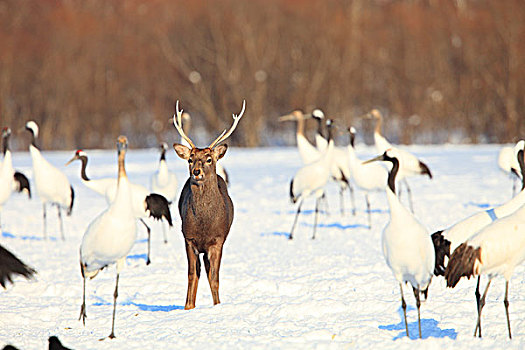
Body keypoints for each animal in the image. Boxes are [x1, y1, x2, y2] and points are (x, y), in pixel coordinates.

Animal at [173, 99, 245, 308]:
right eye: (190, 159)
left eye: (208, 158)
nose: (196, 172)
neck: (204, 224)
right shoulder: (189, 238)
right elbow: (191, 275)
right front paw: (188, 307)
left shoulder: (218, 240)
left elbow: (214, 277)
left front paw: (217, 305)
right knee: (198, 271)